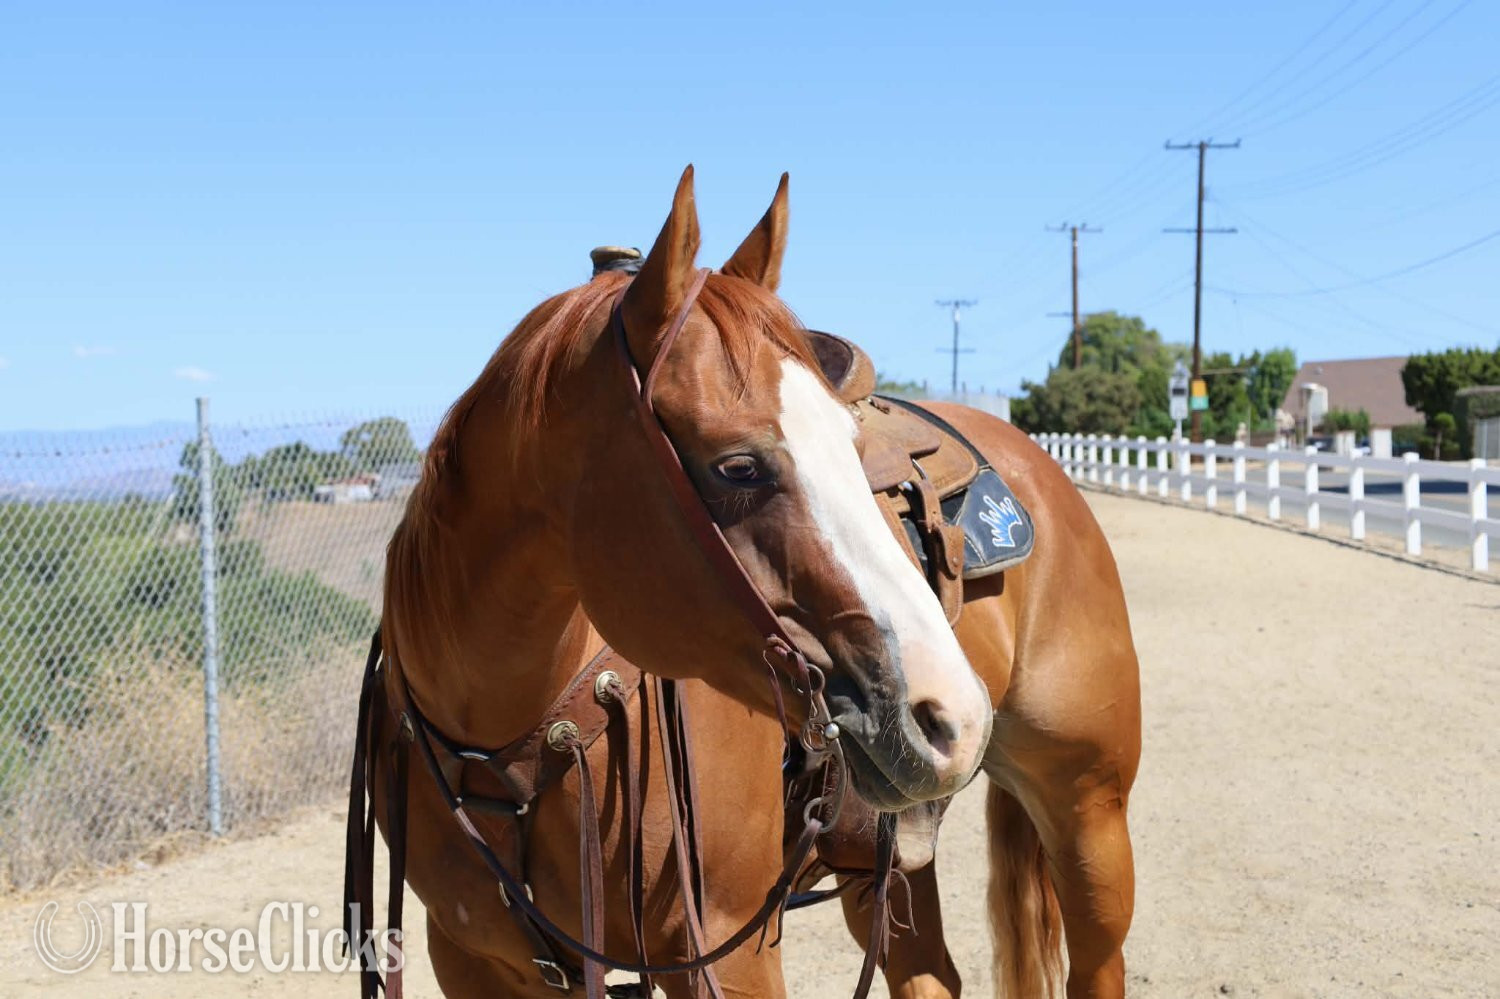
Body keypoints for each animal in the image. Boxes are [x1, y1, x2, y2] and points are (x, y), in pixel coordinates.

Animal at [351, 167, 1140, 999]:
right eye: (739, 466)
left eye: (850, 446)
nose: (950, 714)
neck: (509, 752)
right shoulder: (471, 957)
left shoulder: (729, 950)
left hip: (1088, 812)